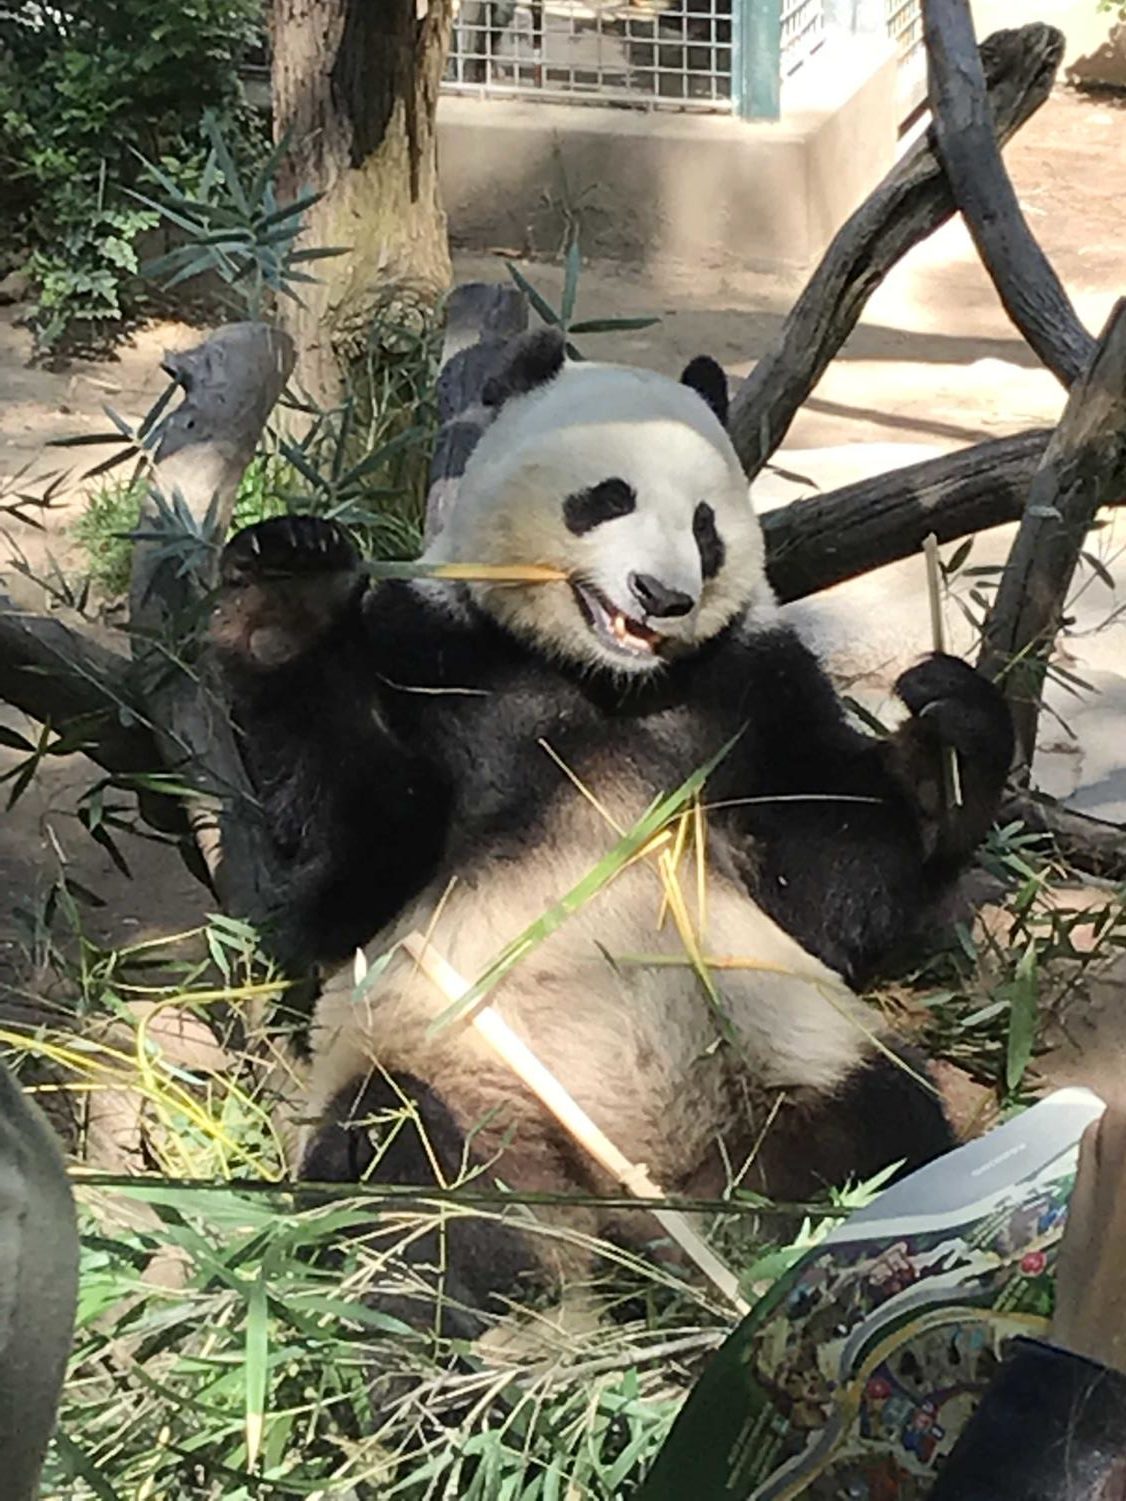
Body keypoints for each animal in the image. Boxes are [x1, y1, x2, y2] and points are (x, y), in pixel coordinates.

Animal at [210, 331, 1014, 1338]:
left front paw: (946, 737)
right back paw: (478, 1325)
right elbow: (342, 874)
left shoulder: (754, 696)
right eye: (608, 497)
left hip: (790, 1050)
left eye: (707, 525)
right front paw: (283, 601)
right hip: (461, 1075)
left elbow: (832, 881)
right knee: (417, 1178)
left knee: (879, 1139)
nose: (662, 595)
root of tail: (634, 1195)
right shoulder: (434, 657)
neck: (598, 679)